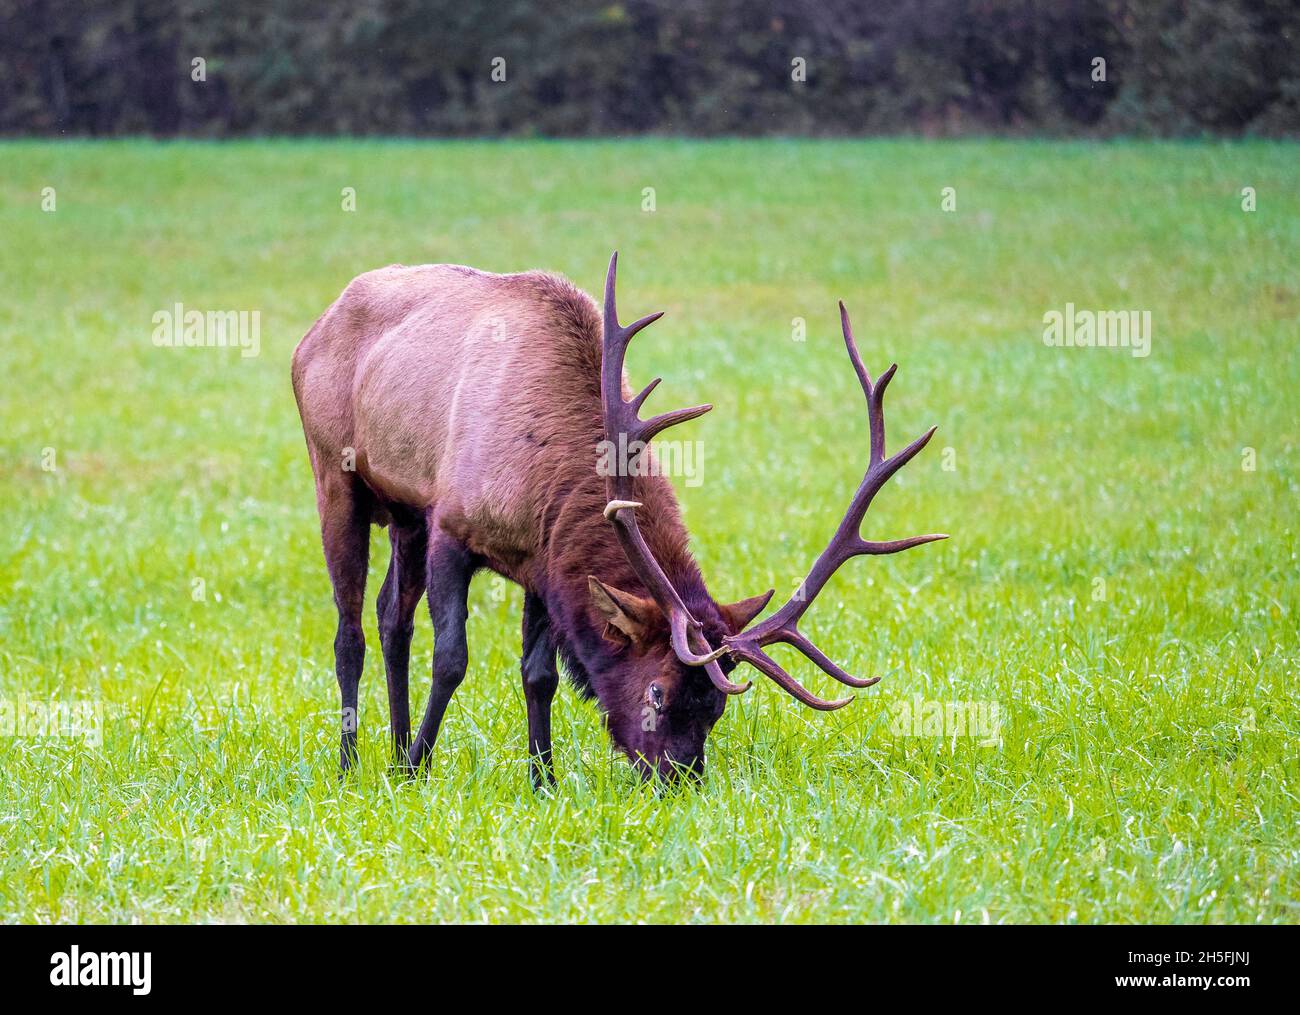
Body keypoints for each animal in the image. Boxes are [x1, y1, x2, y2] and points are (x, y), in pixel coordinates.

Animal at [295, 250, 946, 784]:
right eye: (657, 693)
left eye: (717, 707)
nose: (679, 779)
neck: (542, 480)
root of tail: (315, 328)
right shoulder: (452, 525)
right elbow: (452, 658)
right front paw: (420, 768)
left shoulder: (542, 562)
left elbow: (540, 674)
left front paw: (543, 780)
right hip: (335, 476)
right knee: (350, 630)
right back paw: (354, 763)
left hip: (404, 513)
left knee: (391, 617)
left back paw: (391, 749)